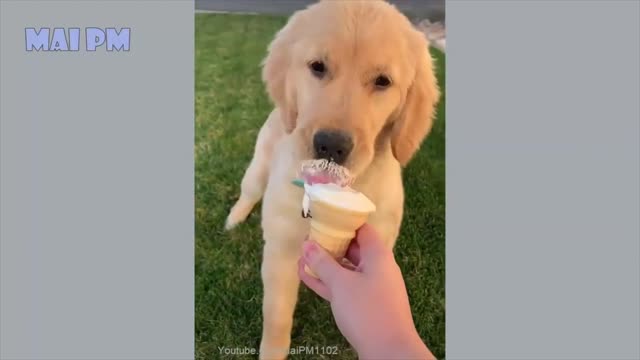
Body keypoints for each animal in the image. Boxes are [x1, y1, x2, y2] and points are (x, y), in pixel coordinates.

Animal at [225, 1, 440, 358]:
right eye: (318, 66)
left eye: (383, 81)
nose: (331, 145)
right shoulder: (280, 251)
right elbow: (277, 316)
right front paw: (272, 350)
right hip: (258, 168)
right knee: (249, 192)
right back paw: (234, 218)